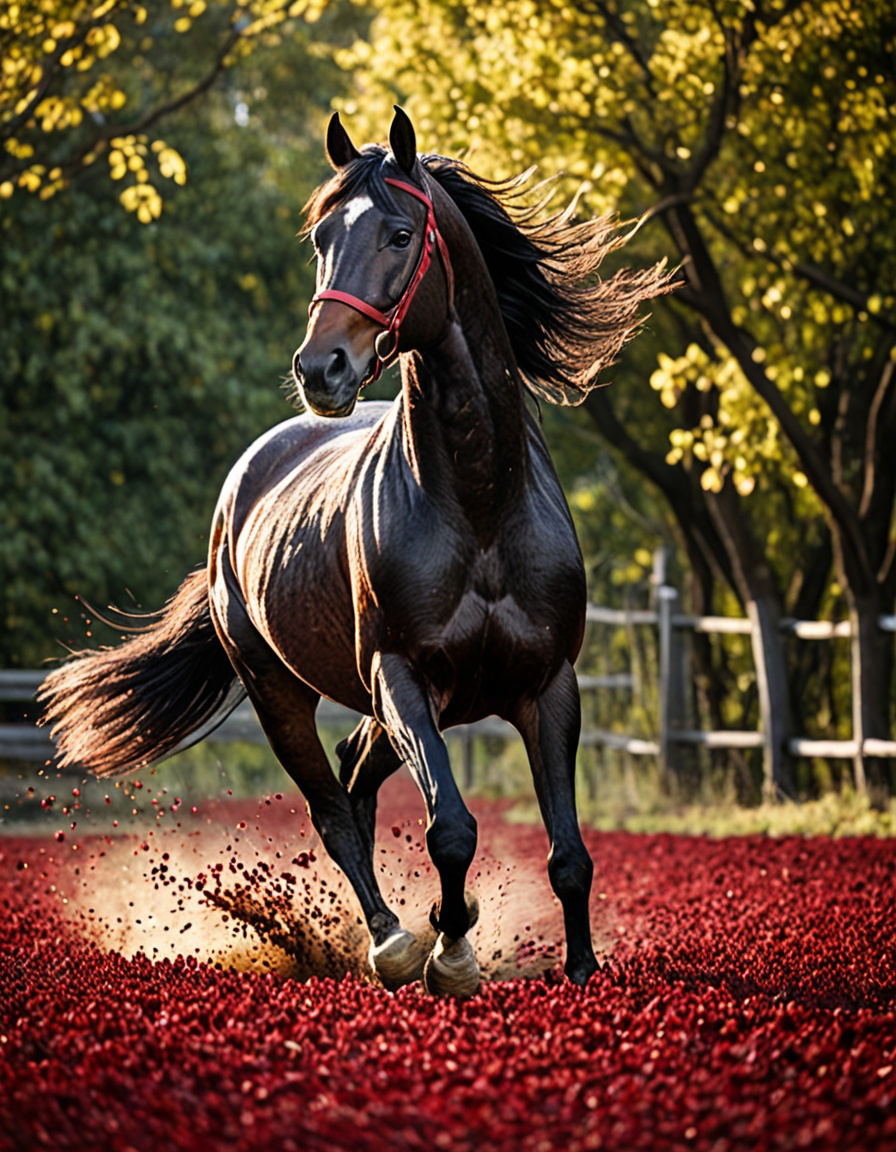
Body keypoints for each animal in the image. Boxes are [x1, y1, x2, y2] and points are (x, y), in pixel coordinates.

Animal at [40, 108, 672, 999]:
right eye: (321, 238)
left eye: (400, 233)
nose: (320, 368)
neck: (481, 508)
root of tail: (239, 493)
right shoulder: (402, 677)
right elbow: (449, 826)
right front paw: (448, 953)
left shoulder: (549, 686)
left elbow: (570, 853)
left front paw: (579, 968)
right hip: (278, 692)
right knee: (335, 811)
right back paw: (391, 942)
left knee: (355, 775)